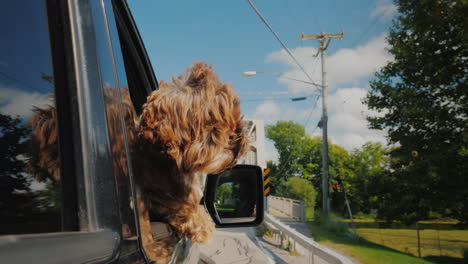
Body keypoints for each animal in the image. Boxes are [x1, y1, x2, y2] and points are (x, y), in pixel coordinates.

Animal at [27, 61, 249, 262]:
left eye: (235, 116)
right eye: (212, 117)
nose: (236, 134)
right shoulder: (155, 193)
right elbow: (181, 205)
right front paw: (203, 224)